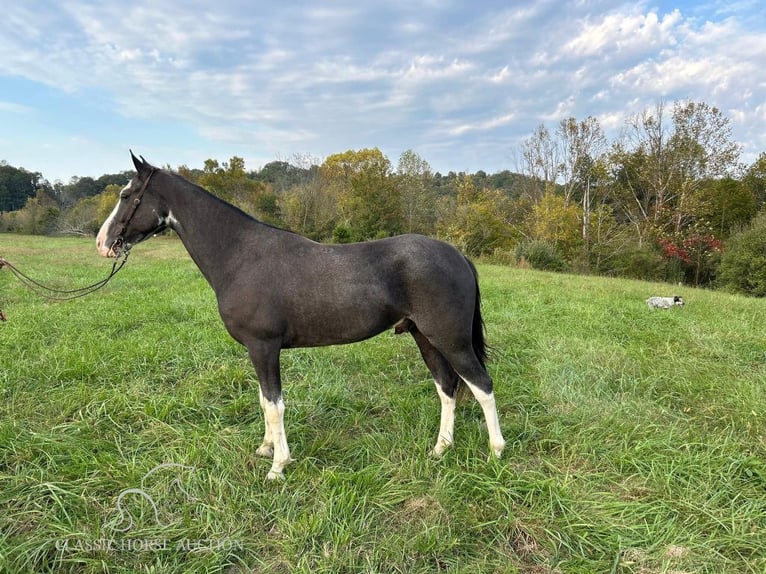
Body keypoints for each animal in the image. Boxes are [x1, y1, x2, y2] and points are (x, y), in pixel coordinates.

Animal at [99, 153, 508, 482]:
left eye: (125, 196)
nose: (103, 243)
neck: (241, 256)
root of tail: (457, 255)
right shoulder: (258, 351)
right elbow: (264, 400)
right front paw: (266, 449)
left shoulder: (263, 347)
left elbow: (274, 404)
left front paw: (277, 466)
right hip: (425, 338)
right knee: (447, 388)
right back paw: (440, 449)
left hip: (450, 340)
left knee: (481, 386)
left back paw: (496, 451)